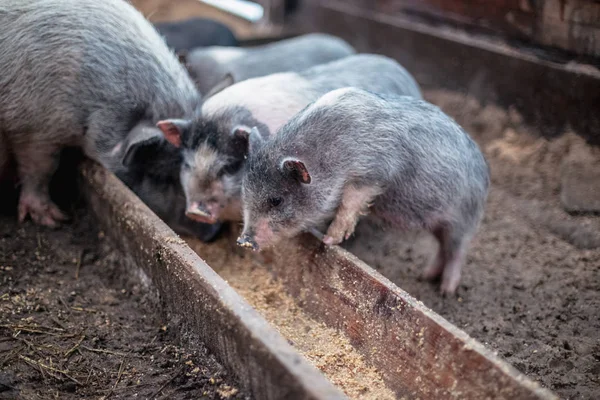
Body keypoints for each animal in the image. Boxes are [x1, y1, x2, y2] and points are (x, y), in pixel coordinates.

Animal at [237, 88, 490, 294]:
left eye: (276, 200)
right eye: (245, 193)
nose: (243, 241)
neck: (330, 155)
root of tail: (484, 170)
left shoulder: (375, 172)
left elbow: (351, 202)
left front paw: (329, 239)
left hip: (464, 218)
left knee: (457, 250)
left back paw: (446, 291)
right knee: (442, 248)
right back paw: (426, 276)